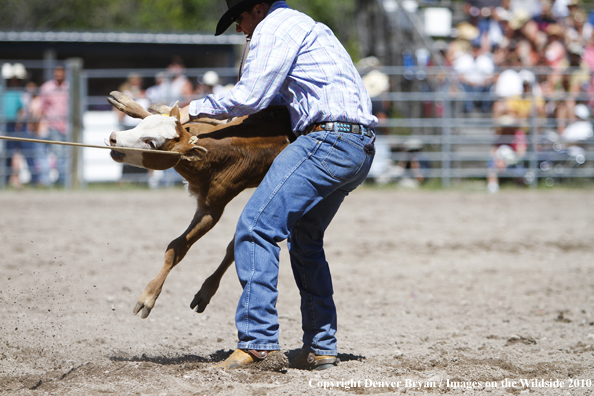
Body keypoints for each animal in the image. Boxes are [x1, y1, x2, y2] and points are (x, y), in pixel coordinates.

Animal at [107, 90, 292, 318]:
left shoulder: (211, 209)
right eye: (142, 129)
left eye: (151, 143)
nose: (113, 138)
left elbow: (179, 248)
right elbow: (176, 248)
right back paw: (142, 105)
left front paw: (148, 298)